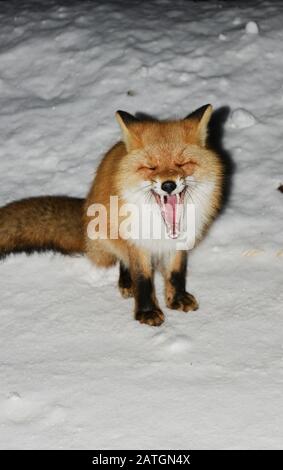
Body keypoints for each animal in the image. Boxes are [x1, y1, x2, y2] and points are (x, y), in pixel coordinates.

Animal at [0, 105, 224, 326]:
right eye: (150, 167)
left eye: (183, 163)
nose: (168, 185)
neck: (161, 227)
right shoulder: (136, 242)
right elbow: (142, 279)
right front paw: (147, 312)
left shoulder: (180, 242)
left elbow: (176, 273)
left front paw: (177, 298)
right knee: (123, 263)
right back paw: (126, 282)